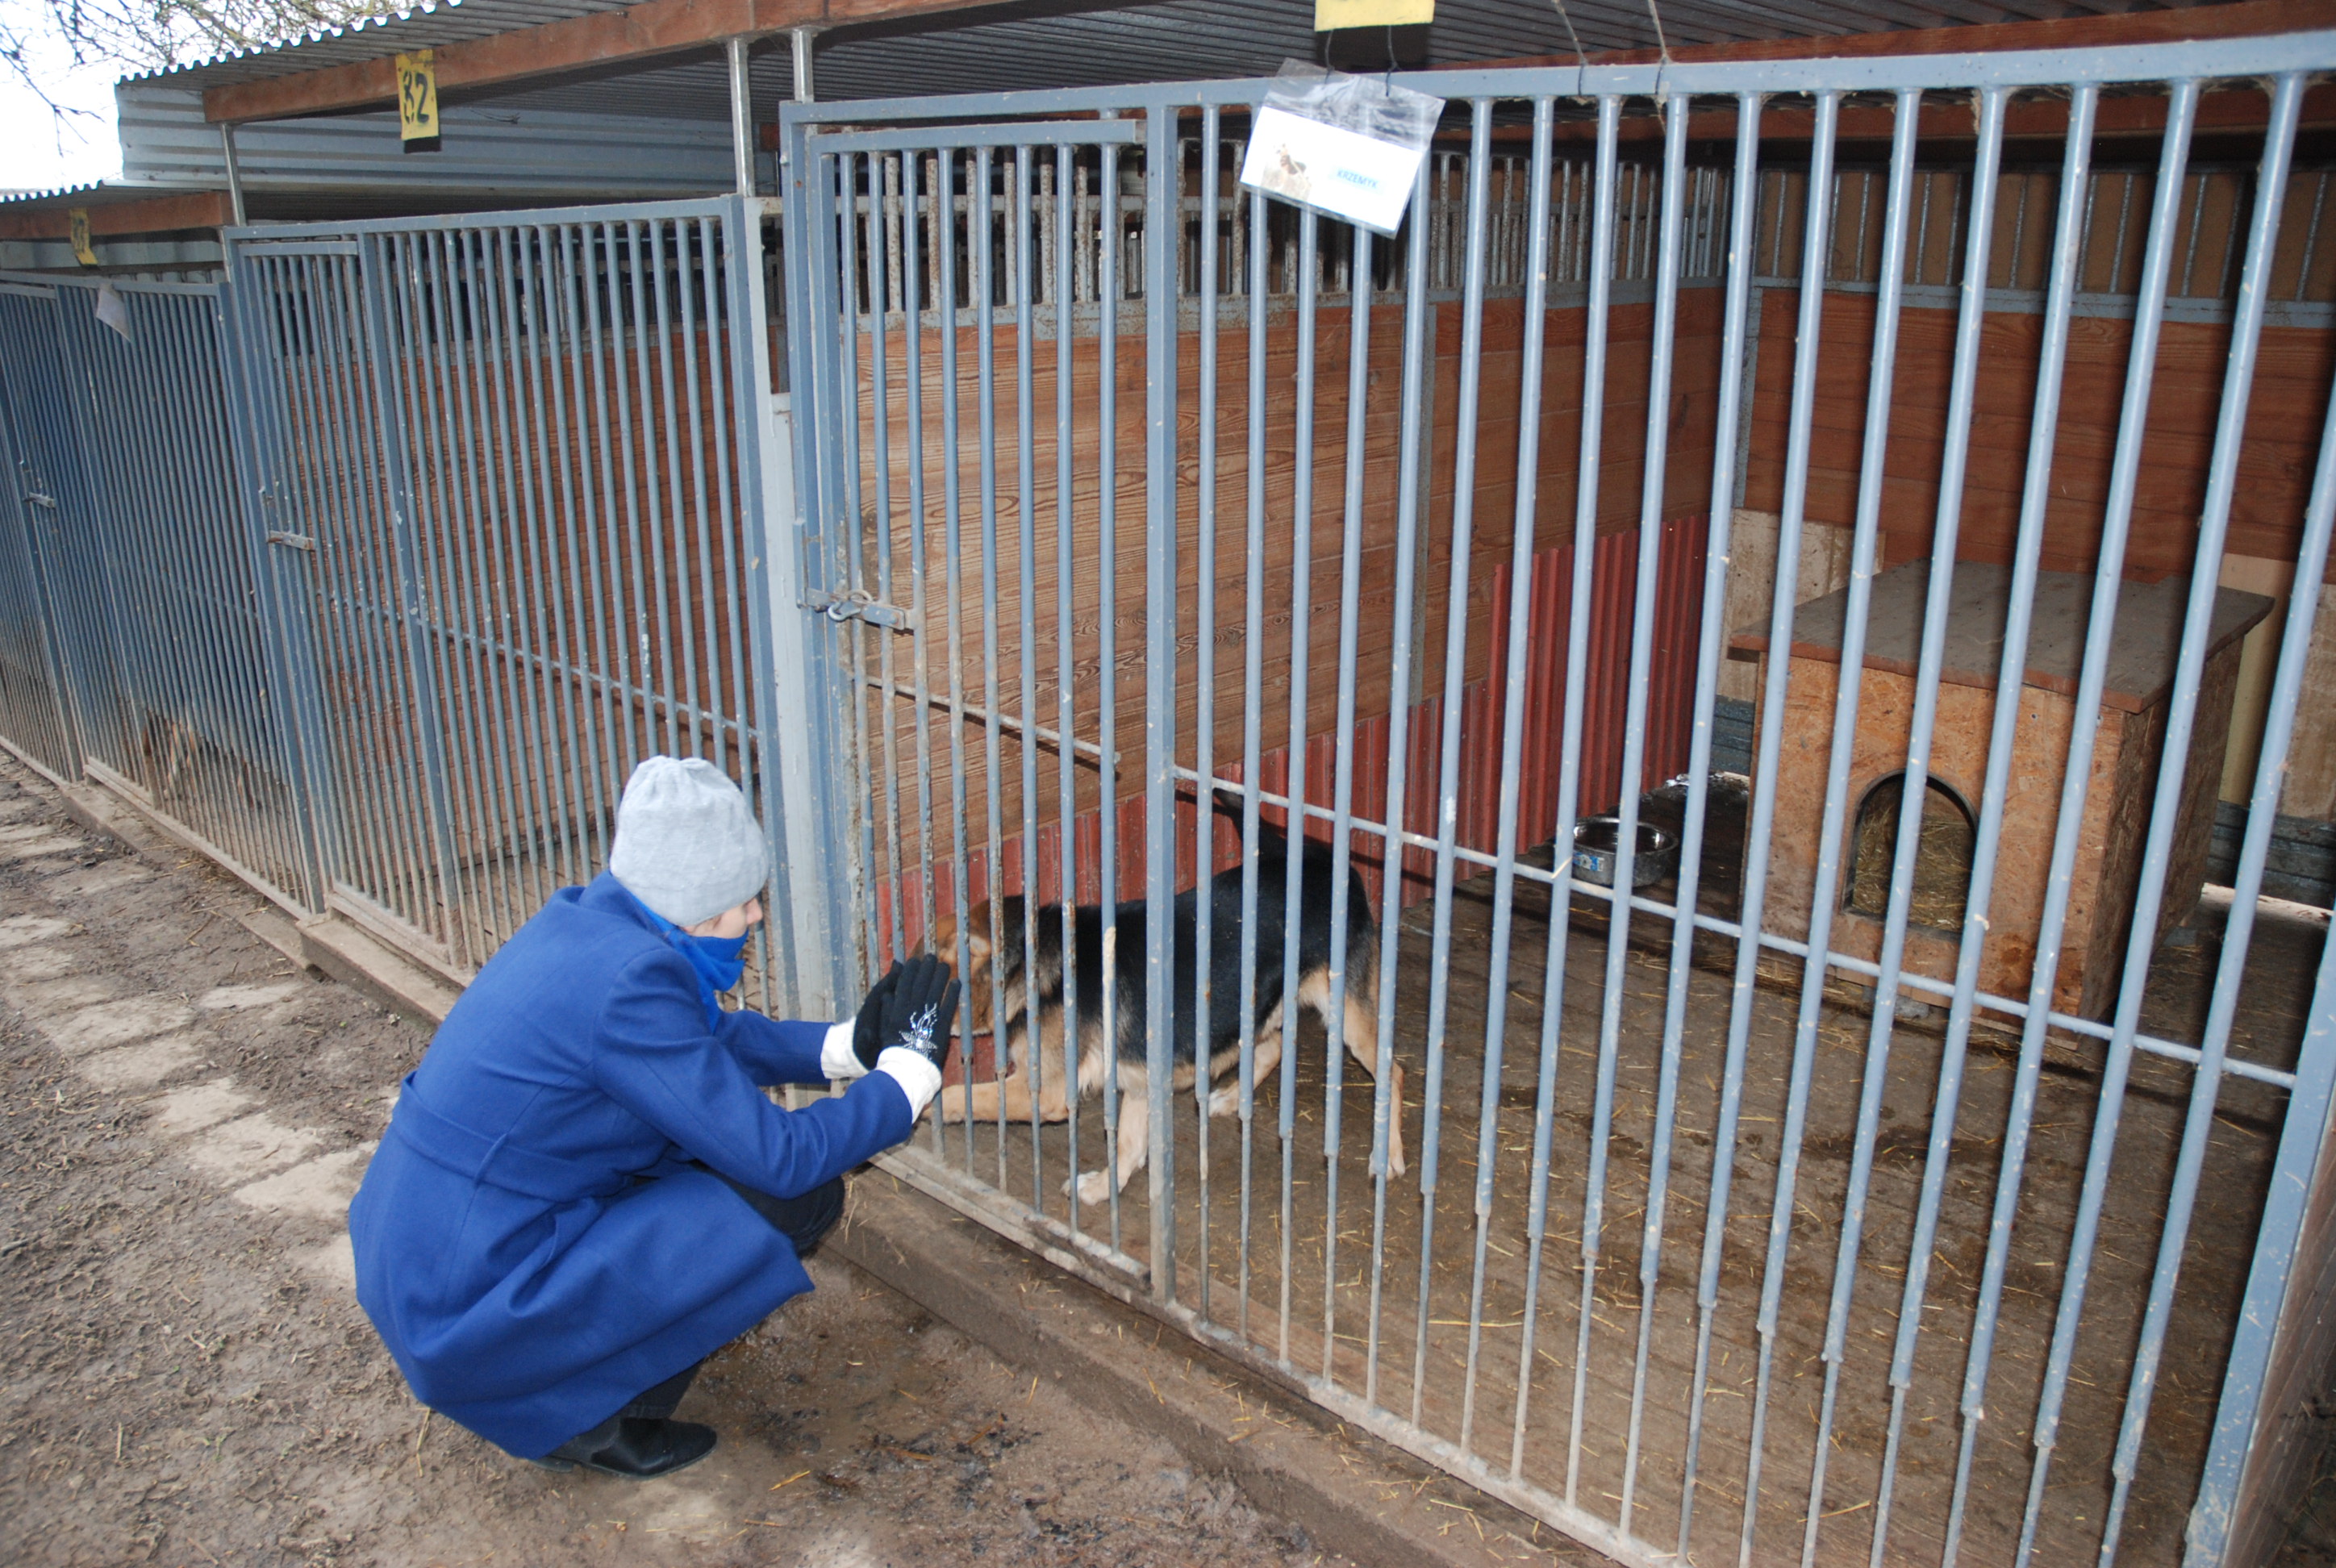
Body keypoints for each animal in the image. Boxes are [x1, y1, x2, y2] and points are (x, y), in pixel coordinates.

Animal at [924, 813, 1404, 1206]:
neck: (1029, 963)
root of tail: (1327, 861)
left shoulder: (1042, 1091)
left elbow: (961, 1093)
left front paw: (925, 1104)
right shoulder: (1138, 1076)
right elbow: (1129, 1145)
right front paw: (1102, 1189)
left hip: (1349, 1013)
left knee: (1392, 1073)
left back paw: (1388, 1157)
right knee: (1273, 1048)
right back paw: (1230, 1097)